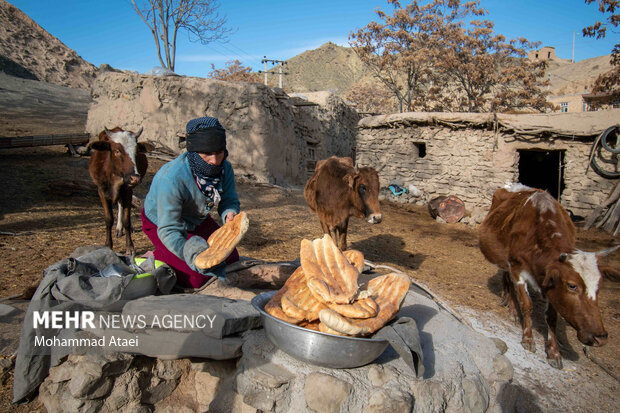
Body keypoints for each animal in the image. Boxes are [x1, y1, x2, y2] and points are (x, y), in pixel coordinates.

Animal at [88, 126, 153, 254]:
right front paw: (108, 245)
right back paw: (118, 228)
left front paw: (130, 247)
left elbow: (126, 219)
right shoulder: (101, 191)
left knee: (121, 206)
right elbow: (108, 219)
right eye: (117, 150)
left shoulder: (127, 190)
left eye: (137, 151)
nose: (135, 178)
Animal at [480, 183, 616, 366]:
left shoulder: (550, 285)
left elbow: (551, 317)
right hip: (504, 259)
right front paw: (528, 339)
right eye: (572, 285)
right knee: (508, 279)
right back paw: (513, 309)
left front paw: (554, 352)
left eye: (599, 287)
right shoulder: (517, 268)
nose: (600, 338)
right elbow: (527, 304)